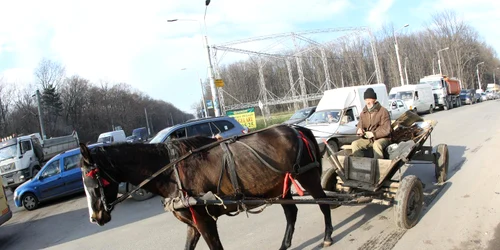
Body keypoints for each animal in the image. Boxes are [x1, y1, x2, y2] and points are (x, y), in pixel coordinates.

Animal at [78, 125, 334, 250]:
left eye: (93, 180)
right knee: (291, 212)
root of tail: (297, 129)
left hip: (308, 177)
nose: (95, 217)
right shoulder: (193, 222)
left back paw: (328, 235)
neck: (171, 171)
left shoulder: (204, 220)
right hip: (278, 187)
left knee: (324, 204)